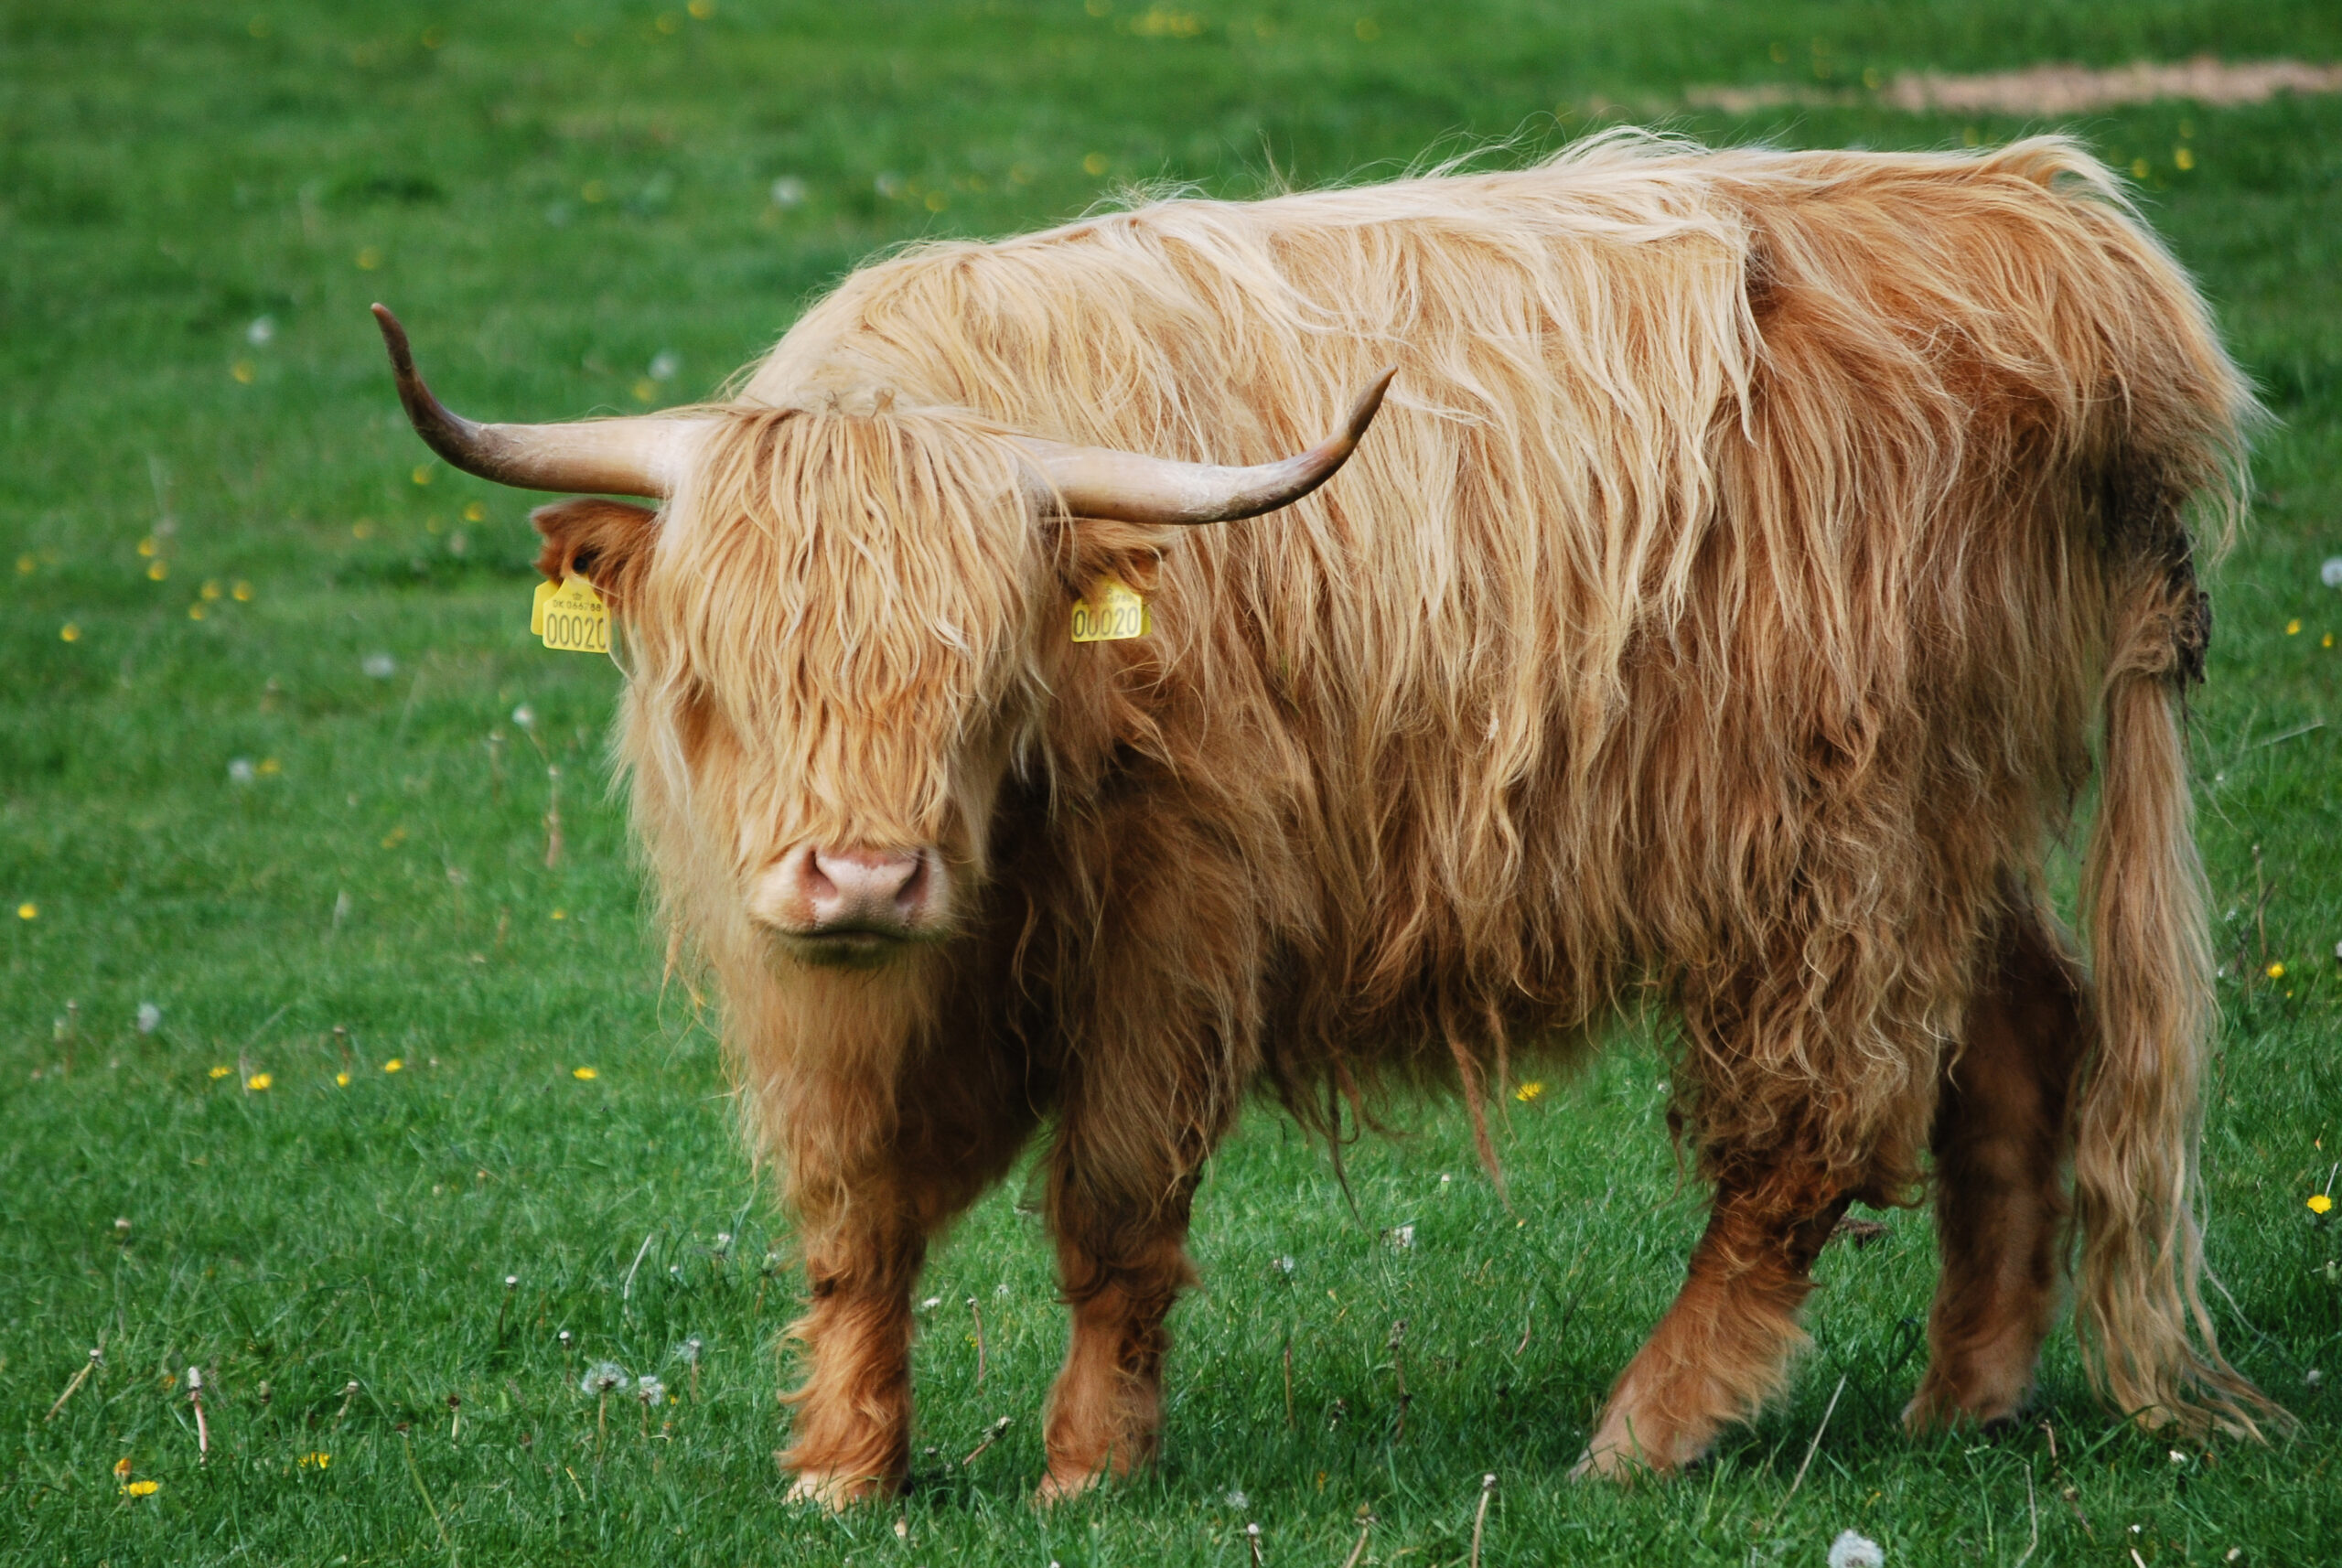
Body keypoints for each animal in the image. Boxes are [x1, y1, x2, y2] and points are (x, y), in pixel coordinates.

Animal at [374, 132, 2279, 1505]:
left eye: (985, 667)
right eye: (727, 666)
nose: (862, 870)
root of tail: (2044, 235)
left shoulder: (1177, 926)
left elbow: (1114, 1208)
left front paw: (1087, 1474)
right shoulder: (824, 998)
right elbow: (858, 1223)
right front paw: (842, 1472)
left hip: (1835, 841)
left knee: (1811, 1132)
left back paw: (1640, 1434)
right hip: (1957, 820)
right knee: (2023, 1038)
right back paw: (1960, 1399)